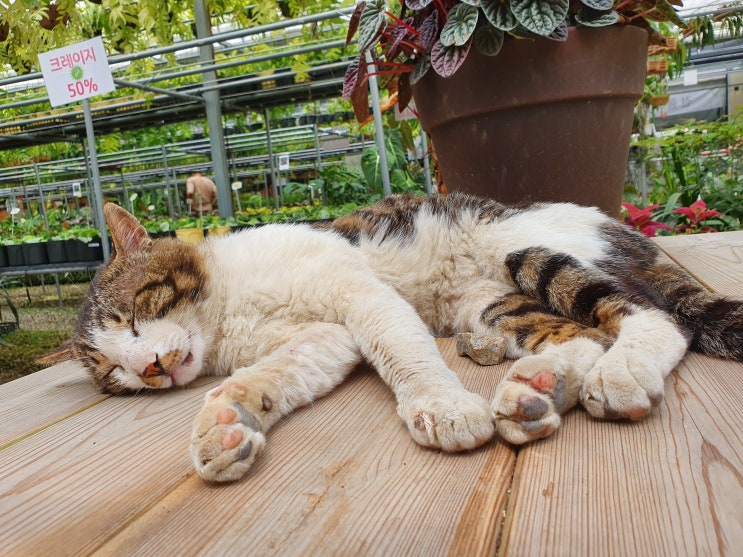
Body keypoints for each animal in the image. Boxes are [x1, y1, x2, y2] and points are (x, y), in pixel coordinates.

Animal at [42, 193, 743, 480]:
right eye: (113, 374)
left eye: (131, 316)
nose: (149, 369)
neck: (228, 314)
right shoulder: (328, 338)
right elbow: (277, 373)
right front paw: (228, 420)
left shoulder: (356, 289)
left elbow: (400, 348)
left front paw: (440, 404)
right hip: (492, 304)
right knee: (581, 335)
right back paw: (538, 389)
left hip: (524, 249)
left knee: (652, 318)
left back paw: (623, 371)